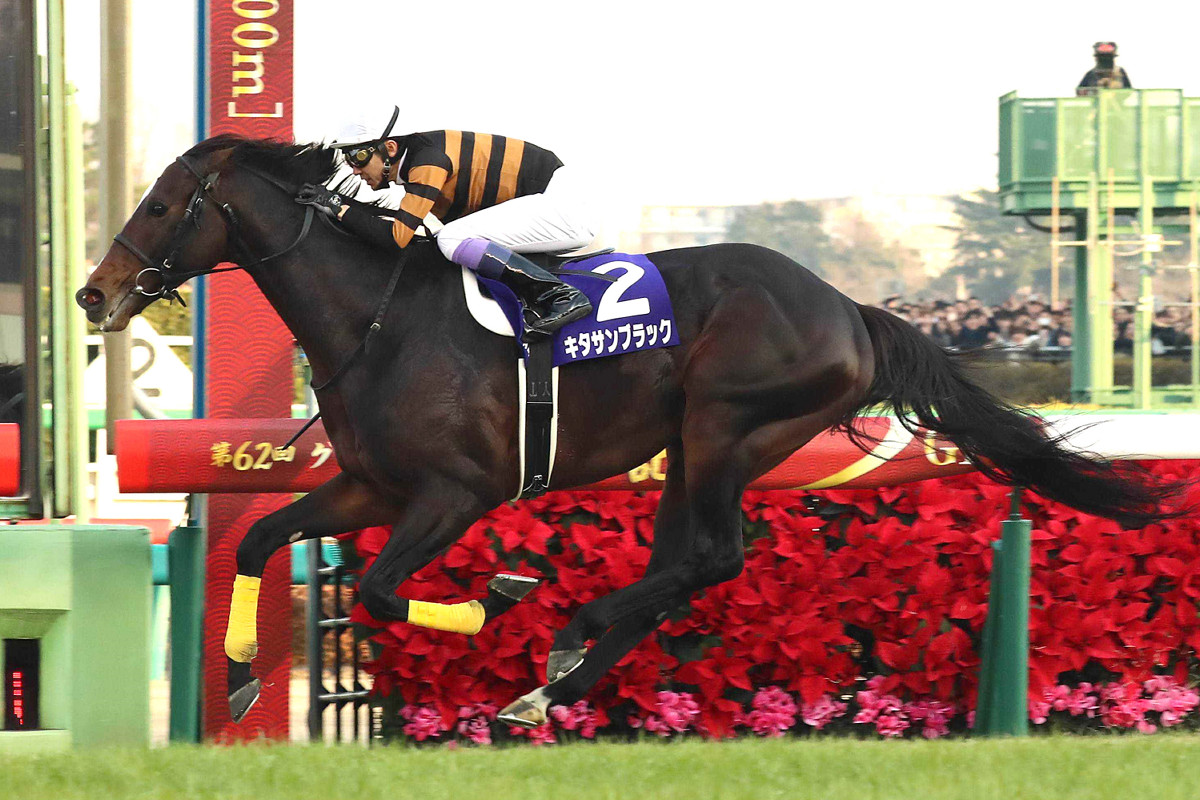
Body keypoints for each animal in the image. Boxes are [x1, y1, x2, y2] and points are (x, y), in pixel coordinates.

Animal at [77, 135, 1188, 728]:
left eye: (164, 203)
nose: (93, 292)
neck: (377, 319)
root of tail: (848, 307)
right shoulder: (372, 487)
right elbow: (261, 537)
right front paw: (232, 676)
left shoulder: (454, 492)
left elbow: (389, 591)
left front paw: (503, 592)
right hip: (698, 442)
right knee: (684, 565)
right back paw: (557, 681)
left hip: (730, 422)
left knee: (712, 556)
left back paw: (566, 641)